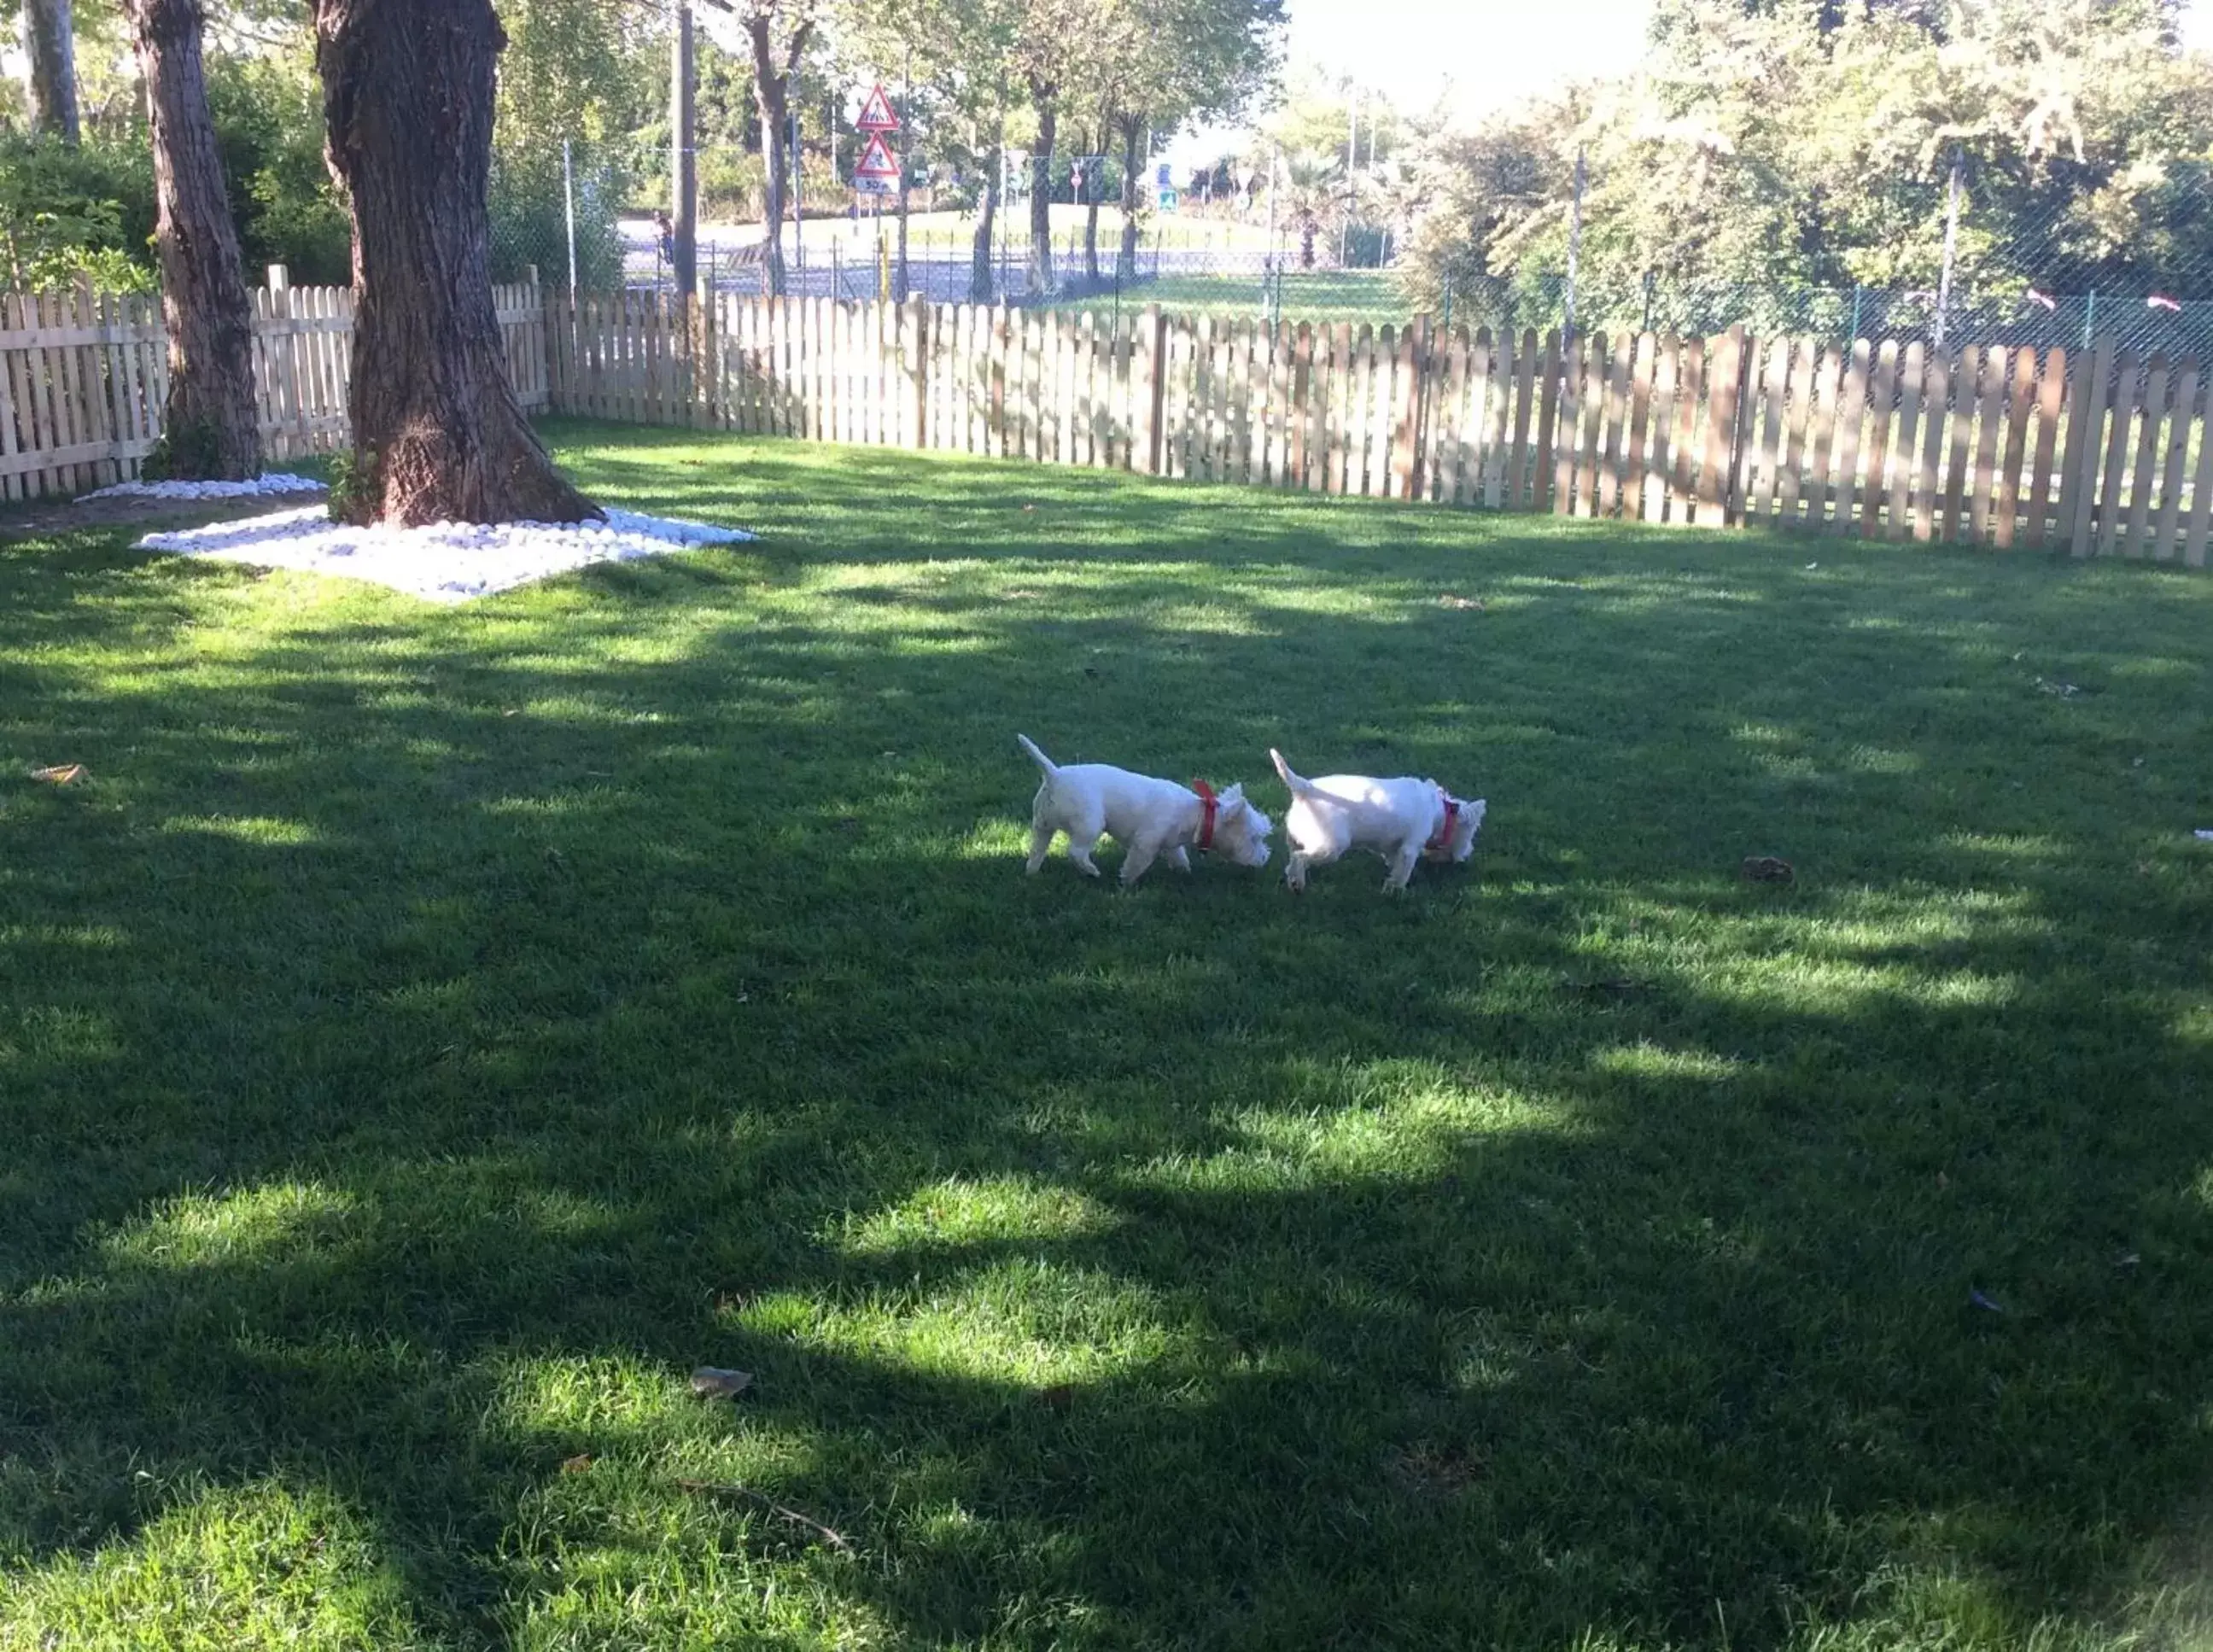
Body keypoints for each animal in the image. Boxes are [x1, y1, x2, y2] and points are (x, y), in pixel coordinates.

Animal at [1013, 738, 1274, 893]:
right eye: (1255, 838)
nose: (1265, 857)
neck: (1197, 814)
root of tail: (1054, 775)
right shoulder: (1145, 844)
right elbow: (1136, 864)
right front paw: (1126, 884)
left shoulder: (1171, 844)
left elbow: (1179, 857)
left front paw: (1185, 873)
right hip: (1089, 824)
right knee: (1076, 852)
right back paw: (1092, 871)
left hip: (1042, 825)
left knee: (1036, 851)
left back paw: (1031, 873)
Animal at [1265, 751, 1486, 897]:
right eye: (1471, 833)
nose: (1468, 853)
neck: (1439, 812)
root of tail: (1304, 788)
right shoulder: (1411, 846)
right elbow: (1403, 870)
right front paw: (1396, 890)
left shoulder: (1392, 845)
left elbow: (1393, 860)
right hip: (1331, 846)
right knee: (1299, 857)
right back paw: (1298, 884)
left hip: (1298, 837)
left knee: (1292, 859)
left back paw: (1292, 881)